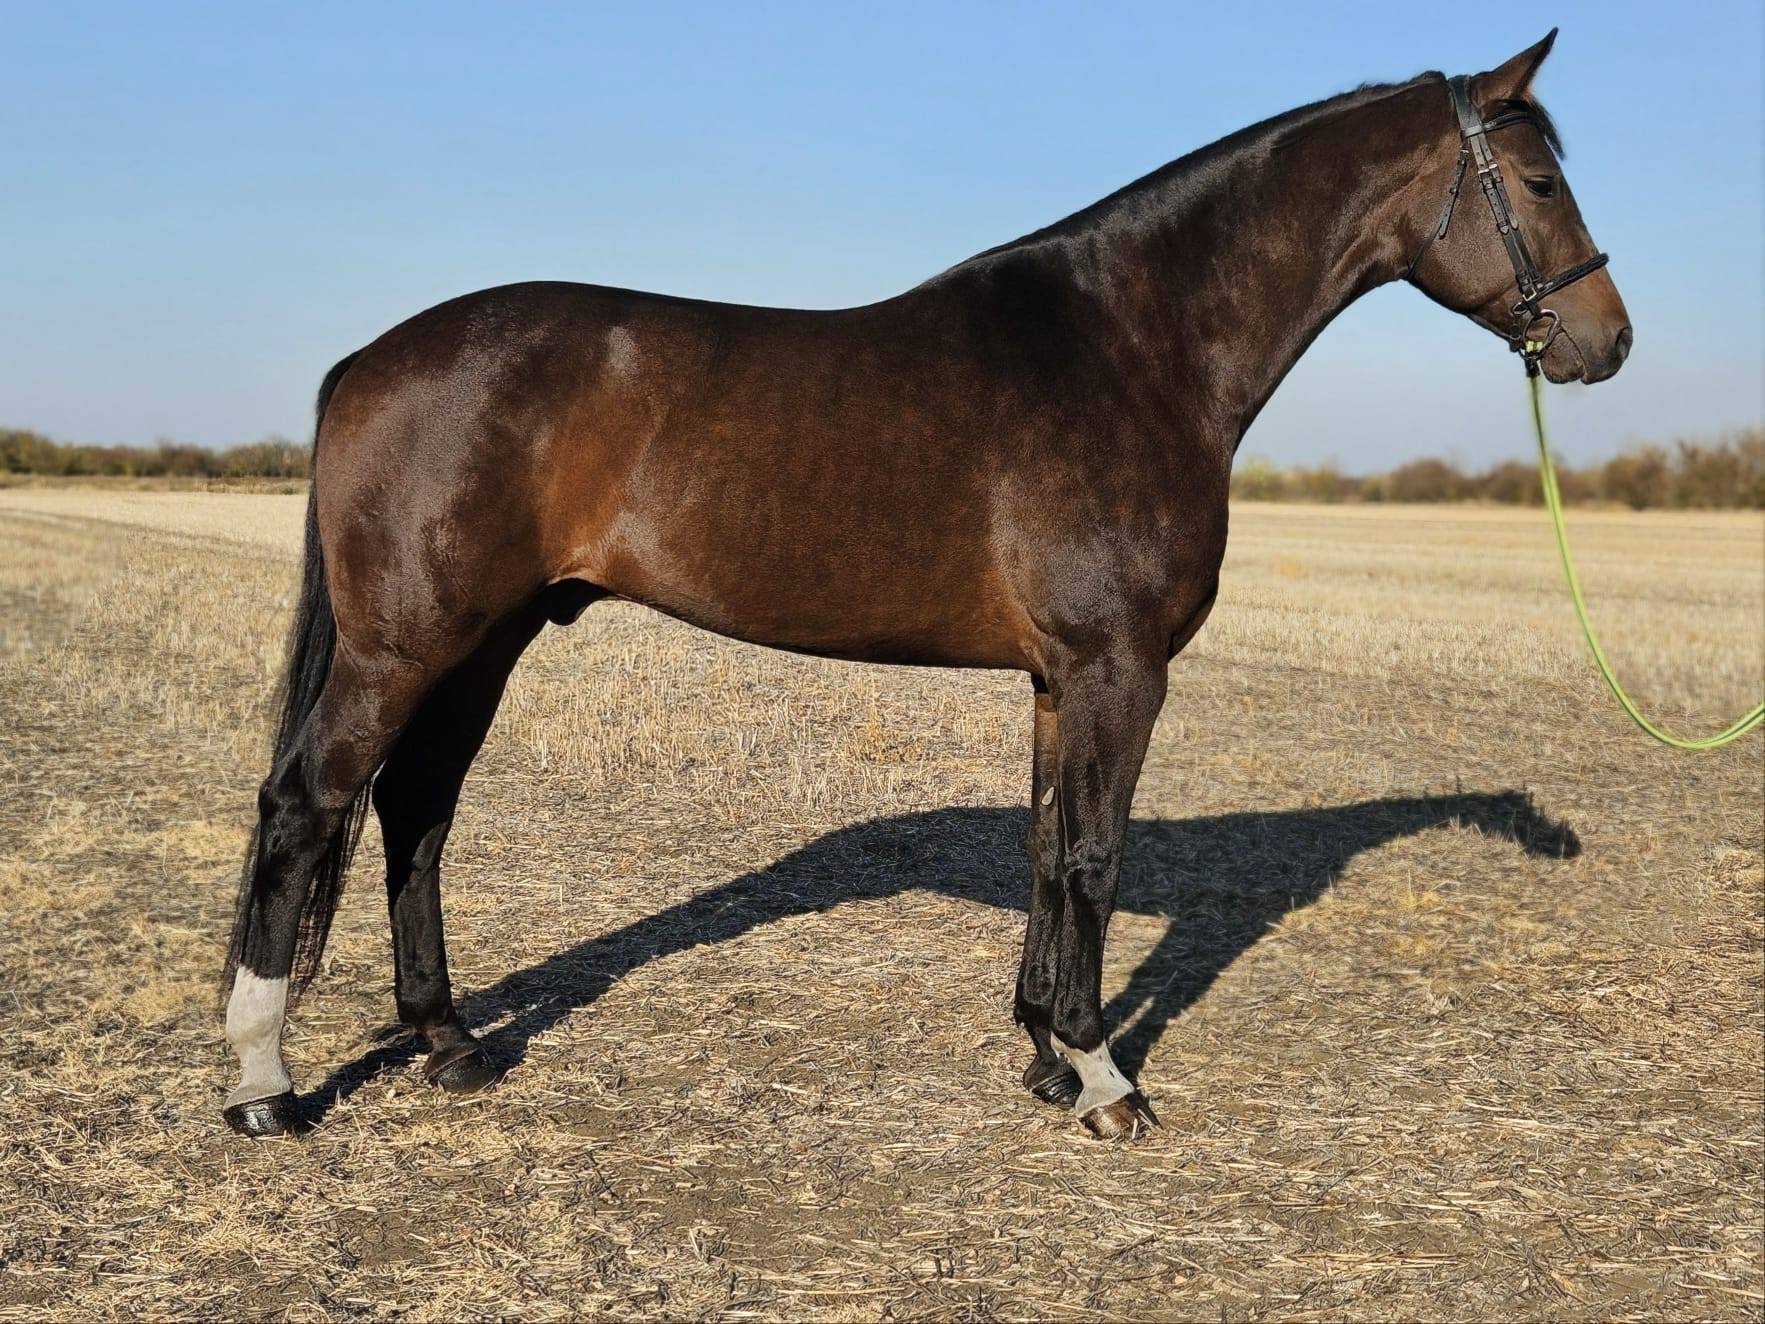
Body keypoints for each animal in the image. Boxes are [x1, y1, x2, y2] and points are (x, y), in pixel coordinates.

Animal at [221, 30, 1630, 1140]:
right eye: (1540, 178)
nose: (1606, 343)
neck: (1133, 346)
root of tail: (369, 359)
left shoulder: (1062, 679)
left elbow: (1050, 847)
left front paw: (1044, 1051)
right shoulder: (1120, 668)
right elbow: (1097, 854)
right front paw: (1105, 1077)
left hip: (486, 639)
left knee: (415, 811)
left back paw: (449, 1043)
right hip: (407, 645)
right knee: (307, 802)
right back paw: (261, 1085)